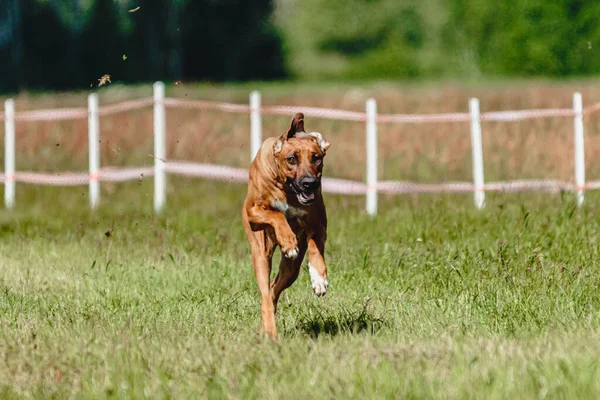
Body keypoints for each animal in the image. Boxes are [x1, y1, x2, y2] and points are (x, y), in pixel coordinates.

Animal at [241, 113, 330, 340]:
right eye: (291, 159)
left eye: (316, 158)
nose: (309, 183)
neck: (288, 189)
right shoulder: (253, 211)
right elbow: (277, 214)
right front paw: (288, 241)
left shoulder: (318, 224)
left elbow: (316, 247)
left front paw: (319, 278)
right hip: (260, 253)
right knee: (265, 293)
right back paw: (270, 331)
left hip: (291, 270)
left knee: (274, 289)